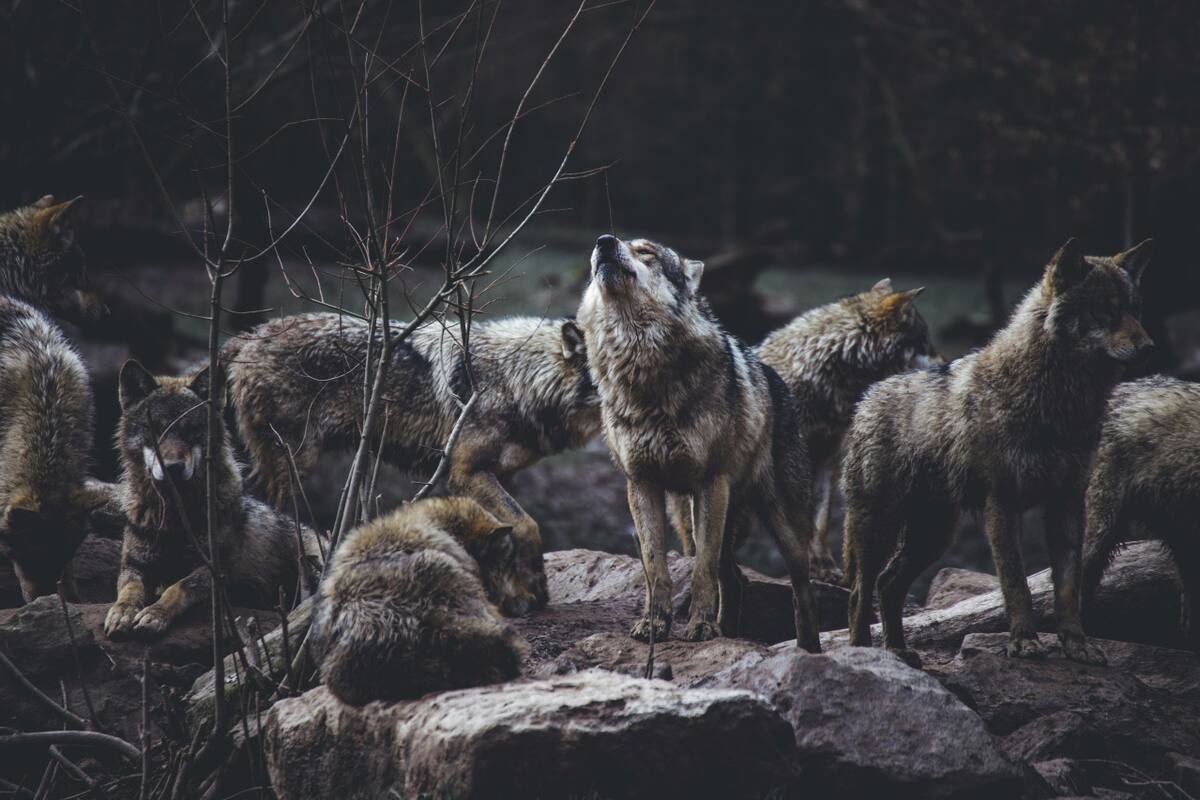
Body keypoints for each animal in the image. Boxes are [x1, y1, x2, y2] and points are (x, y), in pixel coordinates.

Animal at [104, 360, 324, 639]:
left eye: (191, 430)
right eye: (156, 429)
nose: (173, 467)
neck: (175, 517)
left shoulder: (214, 570)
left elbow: (177, 588)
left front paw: (155, 614)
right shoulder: (134, 566)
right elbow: (129, 589)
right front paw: (121, 612)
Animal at [223, 313, 600, 613]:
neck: (517, 379)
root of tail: (250, 335)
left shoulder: (500, 476)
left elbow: (509, 534)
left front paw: (519, 593)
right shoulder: (466, 473)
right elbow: (528, 525)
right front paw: (535, 588)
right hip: (293, 465)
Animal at [576, 234, 819, 650]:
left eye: (646, 252)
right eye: (609, 244)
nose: (604, 242)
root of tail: (777, 379)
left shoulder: (709, 483)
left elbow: (701, 571)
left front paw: (701, 627)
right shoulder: (641, 485)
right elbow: (655, 568)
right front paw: (654, 625)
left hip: (780, 524)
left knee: (800, 592)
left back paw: (809, 650)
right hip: (697, 515)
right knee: (735, 578)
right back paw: (730, 632)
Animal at [842, 239, 1152, 665]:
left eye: (1134, 309)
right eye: (1105, 310)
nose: (1148, 347)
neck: (1057, 403)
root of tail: (869, 395)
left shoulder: (1067, 503)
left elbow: (1068, 588)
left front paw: (1077, 645)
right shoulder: (1002, 503)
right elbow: (1016, 583)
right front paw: (1024, 642)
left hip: (933, 535)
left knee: (888, 584)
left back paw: (899, 653)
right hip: (881, 528)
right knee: (861, 588)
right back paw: (864, 653)